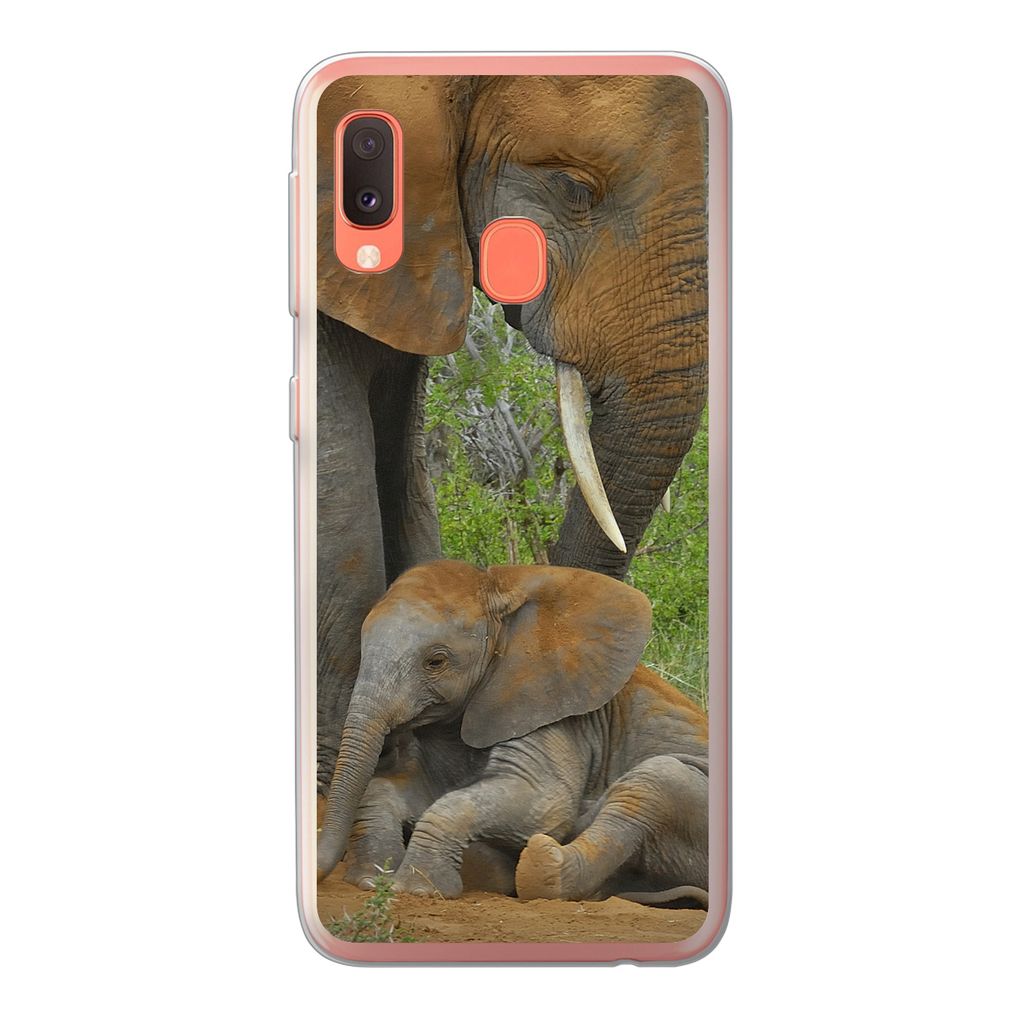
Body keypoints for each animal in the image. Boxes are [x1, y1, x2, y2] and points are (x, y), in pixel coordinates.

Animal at [317, 560, 709, 908]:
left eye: (436, 662)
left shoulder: (554, 712)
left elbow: (544, 802)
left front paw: (419, 890)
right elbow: (402, 789)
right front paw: (372, 879)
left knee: (649, 784)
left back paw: (540, 862)